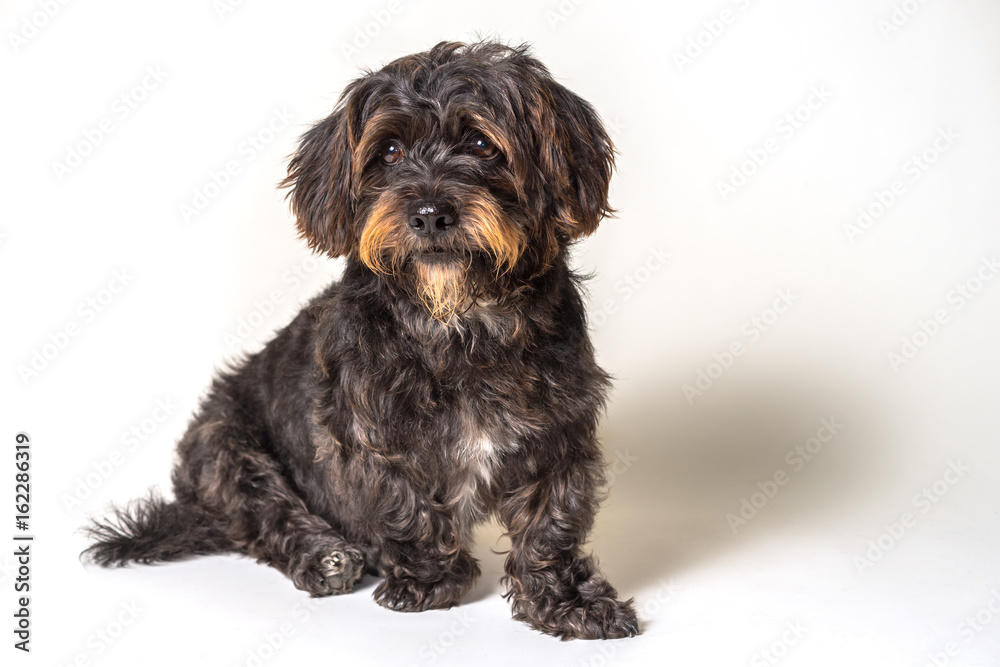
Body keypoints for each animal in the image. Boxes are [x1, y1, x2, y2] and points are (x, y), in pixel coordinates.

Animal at [82, 40, 636, 640]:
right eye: (389, 151)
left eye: (482, 144)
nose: (430, 213)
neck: (456, 322)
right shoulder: (360, 432)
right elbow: (402, 503)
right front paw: (430, 581)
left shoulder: (559, 435)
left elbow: (550, 525)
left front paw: (567, 600)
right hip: (222, 443)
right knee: (265, 511)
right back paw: (324, 555)